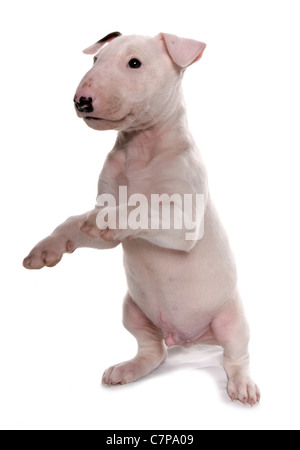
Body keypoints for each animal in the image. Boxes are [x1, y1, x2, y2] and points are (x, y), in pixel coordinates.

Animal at [22, 30, 260, 404]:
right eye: (95, 59)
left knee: (236, 355)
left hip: (231, 320)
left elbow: (143, 208)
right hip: (133, 311)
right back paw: (127, 369)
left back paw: (242, 385)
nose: (81, 101)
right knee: (153, 351)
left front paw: (103, 219)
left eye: (134, 63)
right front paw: (47, 248)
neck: (141, 148)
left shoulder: (185, 219)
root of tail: (188, 339)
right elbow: (75, 221)